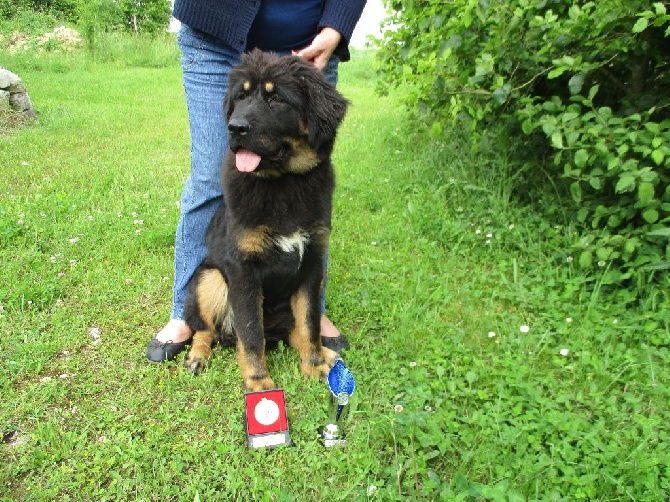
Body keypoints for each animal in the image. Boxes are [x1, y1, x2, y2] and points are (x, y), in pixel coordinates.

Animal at [184, 49, 352, 392]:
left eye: (276, 99)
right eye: (241, 96)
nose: (235, 128)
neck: (283, 183)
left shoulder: (311, 264)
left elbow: (309, 323)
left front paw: (314, 366)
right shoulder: (244, 271)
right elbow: (251, 334)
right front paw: (260, 384)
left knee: (296, 330)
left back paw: (326, 355)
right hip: (211, 278)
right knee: (206, 329)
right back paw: (197, 356)